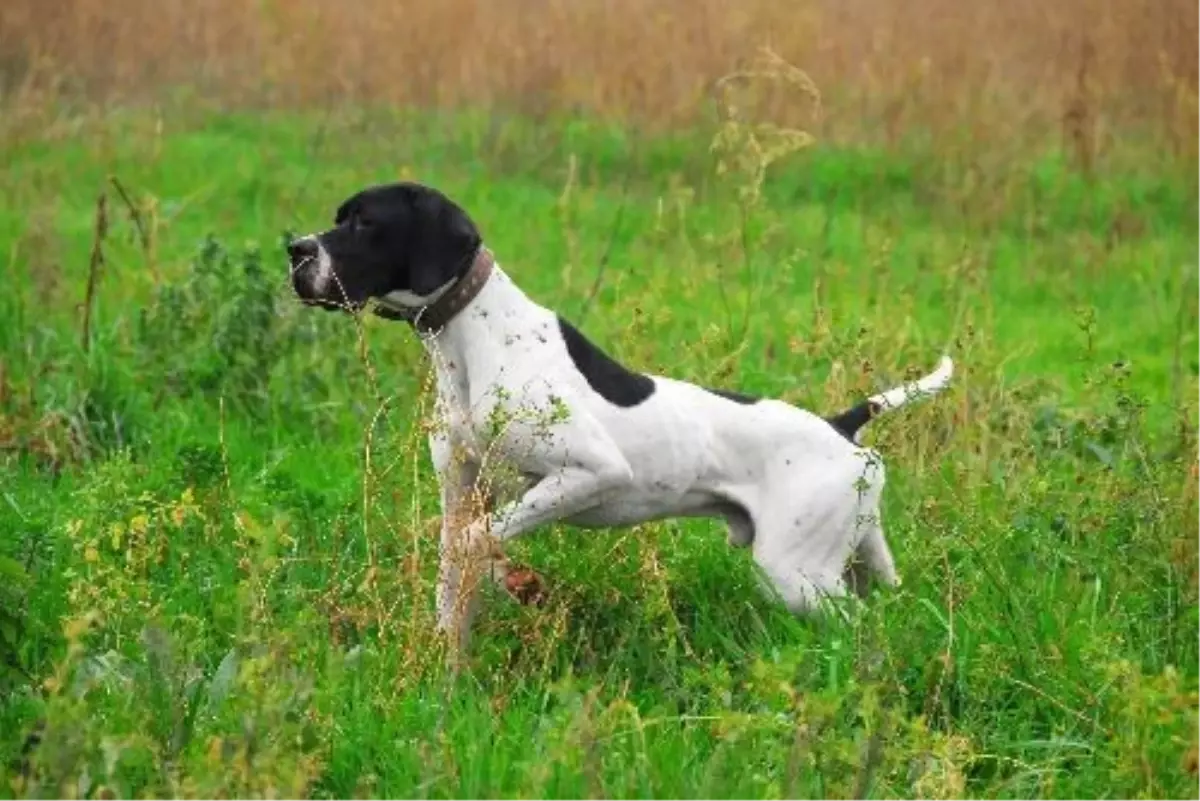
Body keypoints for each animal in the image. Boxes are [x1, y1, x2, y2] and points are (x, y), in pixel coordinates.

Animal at [285, 183, 950, 657]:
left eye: (366, 222)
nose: (294, 250)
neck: (473, 340)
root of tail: (842, 426)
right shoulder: (463, 493)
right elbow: (456, 576)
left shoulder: (592, 472)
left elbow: (482, 543)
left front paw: (515, 582)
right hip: (854, 559)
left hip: (796, 574)